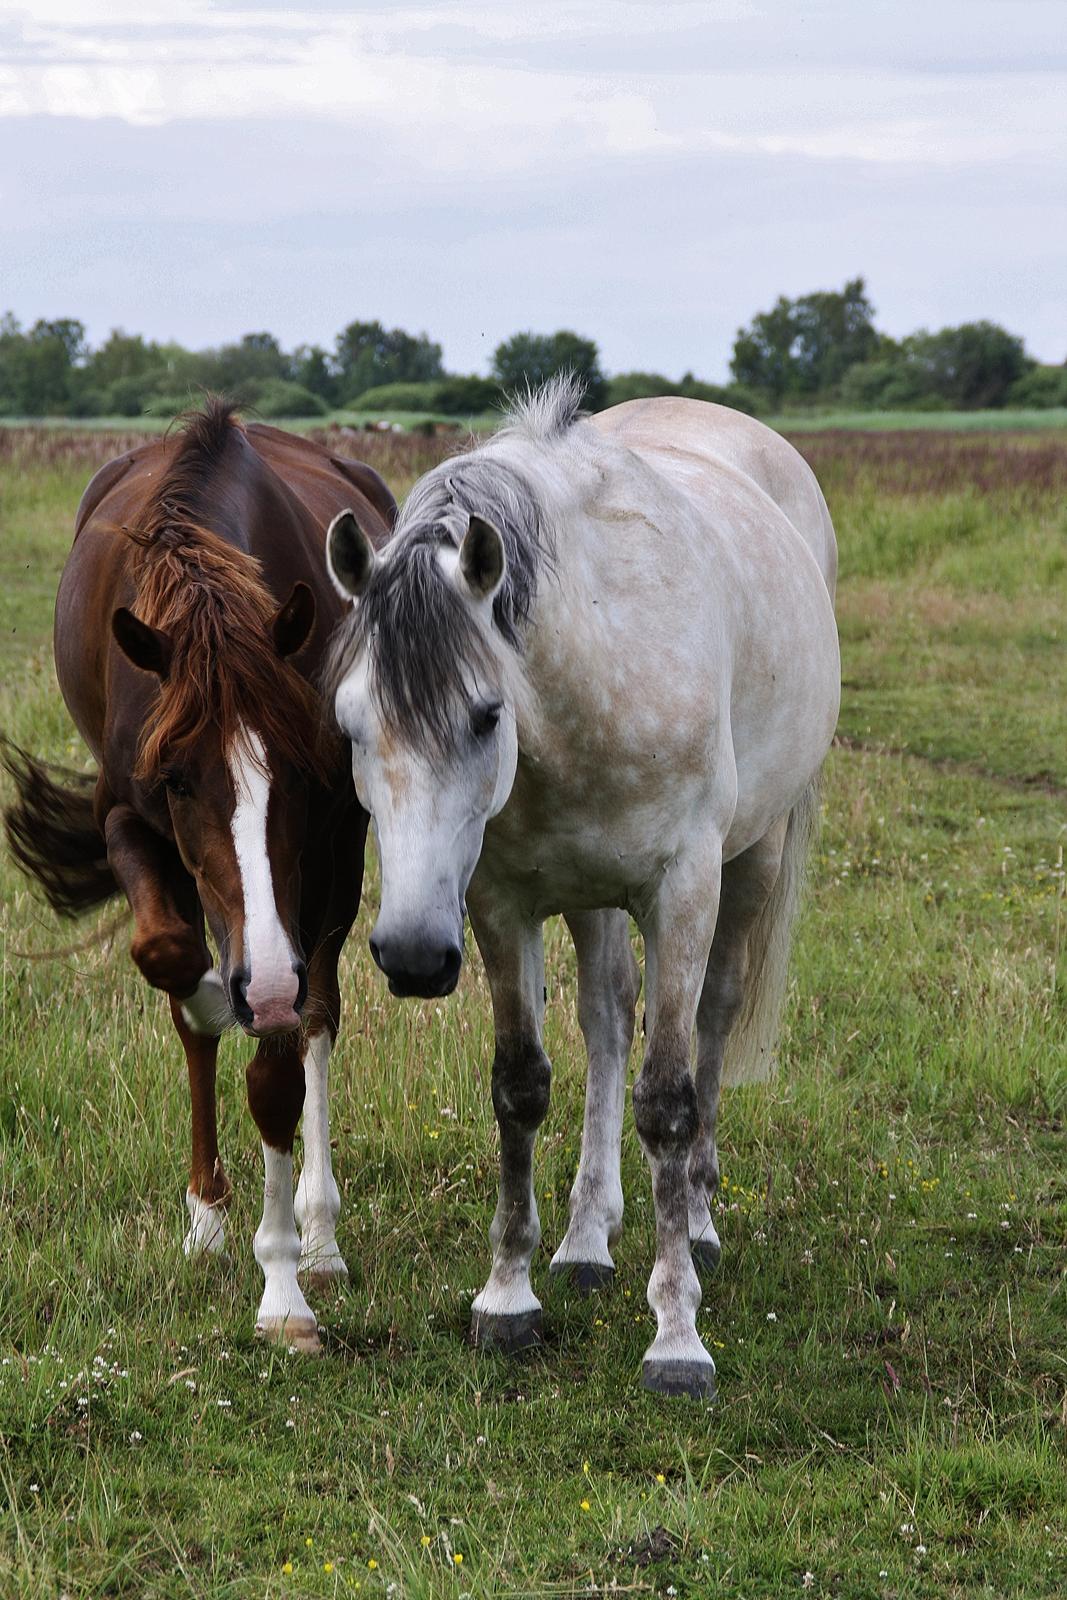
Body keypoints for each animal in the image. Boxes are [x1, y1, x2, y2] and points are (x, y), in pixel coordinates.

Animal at [4, 403, 396, 1350]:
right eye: (179, 779)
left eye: (298, 775)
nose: (260, 980)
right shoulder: (127, 816)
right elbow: (173, 965)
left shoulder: (329, 847)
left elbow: (287, 1059)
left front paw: (285, 1281)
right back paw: (208, 1214)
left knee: (319, 1016)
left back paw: (318, 1233)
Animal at [321, 380, 838, 1395]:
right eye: (351, 724)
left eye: (486, 715)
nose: (410, 954)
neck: (600, 654)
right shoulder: (497, 903)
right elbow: (520, 1086)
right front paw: (507, 1296)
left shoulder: (681, 891)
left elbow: (669, 1101)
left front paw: (676, 1334)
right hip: (593, 898)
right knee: (605, 1023)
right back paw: (586, 1238)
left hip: (749, 864)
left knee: (711, 1023)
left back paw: (699, 1224)